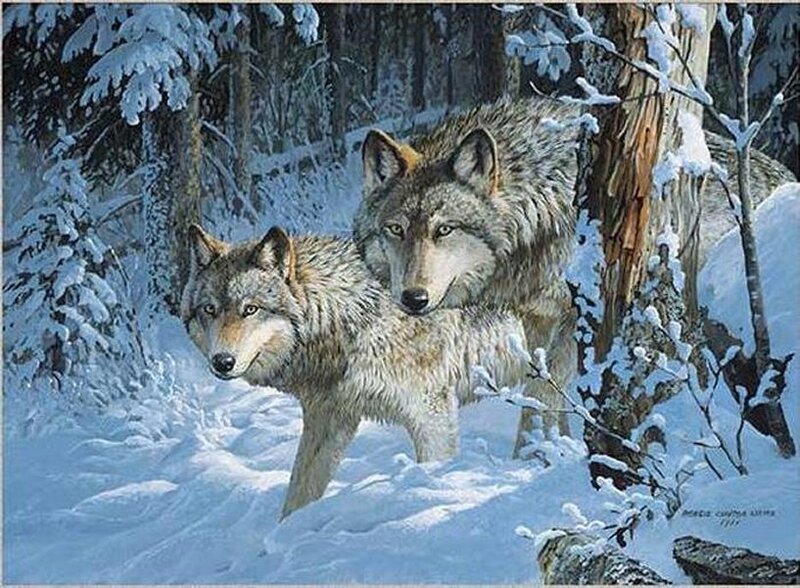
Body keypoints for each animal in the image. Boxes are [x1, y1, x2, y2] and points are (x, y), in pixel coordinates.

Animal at [181, 224, 529, 518]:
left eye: (250, 309)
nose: (222, 362)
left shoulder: (432, 417)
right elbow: (298, 495)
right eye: (210, 310)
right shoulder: (329, 420)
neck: (352, 318)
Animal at [352, 97, 795, 456]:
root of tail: (784, 175)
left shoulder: (574, 316)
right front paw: (558, 450)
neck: (536, 210)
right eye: (396, 230)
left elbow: (540, 396)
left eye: (444, 230)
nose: (413, 299)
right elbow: (548, 394)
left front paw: (534, 460)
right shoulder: (536, 319)